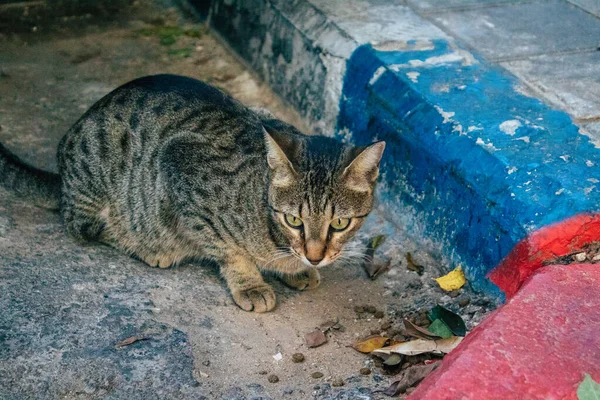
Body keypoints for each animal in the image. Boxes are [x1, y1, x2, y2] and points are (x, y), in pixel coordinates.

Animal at [0, 75, 384, 312]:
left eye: (339, 223)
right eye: (293, 219)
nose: (315, 257)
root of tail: (63, 177)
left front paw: (295, 269)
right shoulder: (181, 170)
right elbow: (228, 250)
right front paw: (251, 283)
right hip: (100, 192)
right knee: (82, 226)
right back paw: (147, 247)